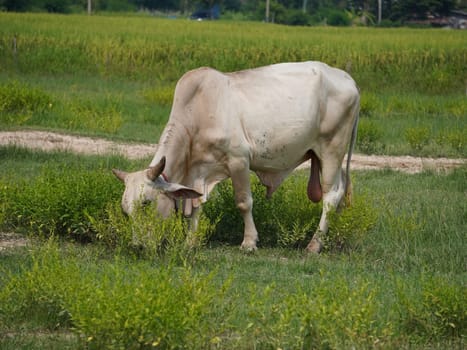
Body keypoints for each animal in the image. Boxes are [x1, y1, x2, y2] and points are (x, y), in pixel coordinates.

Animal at [114, 61, 362, 253]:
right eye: (125, 211)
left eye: (146, 203)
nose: (137, 246)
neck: (197, 111)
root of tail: (348, 79)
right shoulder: (198, 172)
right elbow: (196, 205)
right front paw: (190, 241)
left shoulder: (239, 160)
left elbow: (244, 203)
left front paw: (249, 242)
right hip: (324, 156)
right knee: (340, 192)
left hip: (332, 150)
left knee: (330, 196)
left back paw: (315, 244)